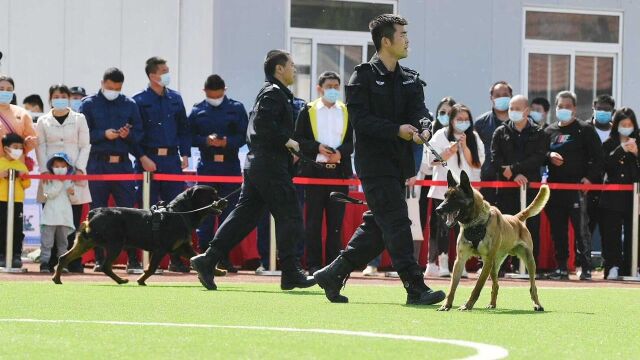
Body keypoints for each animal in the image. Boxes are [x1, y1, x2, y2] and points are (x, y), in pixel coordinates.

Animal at [52, 186, 228, 284]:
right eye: (213, 195)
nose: (225, 201)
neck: (180, 213)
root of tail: (94, 213)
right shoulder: (161, 249)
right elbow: (151, 268)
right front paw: (141, 280)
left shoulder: (182, 247)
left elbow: (198, 255)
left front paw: (217, 271)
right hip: (115, 243)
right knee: (105, 266)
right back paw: (121, 280)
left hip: (85, 242)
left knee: (64, 258)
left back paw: (57, 278)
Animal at [436, 170, 552, 310]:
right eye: (445, 196)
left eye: (454, 197)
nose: (437, 210)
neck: (475, 223)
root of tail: (516, 219)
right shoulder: (460, 261)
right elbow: (452, 287)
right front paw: (446, 305)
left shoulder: (487, 261)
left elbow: (477, 286)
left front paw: (467, 305)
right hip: (494, 266)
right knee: (496, 285)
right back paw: (492, 304)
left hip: (528, 261)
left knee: (533, 286)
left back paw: (537, 304)